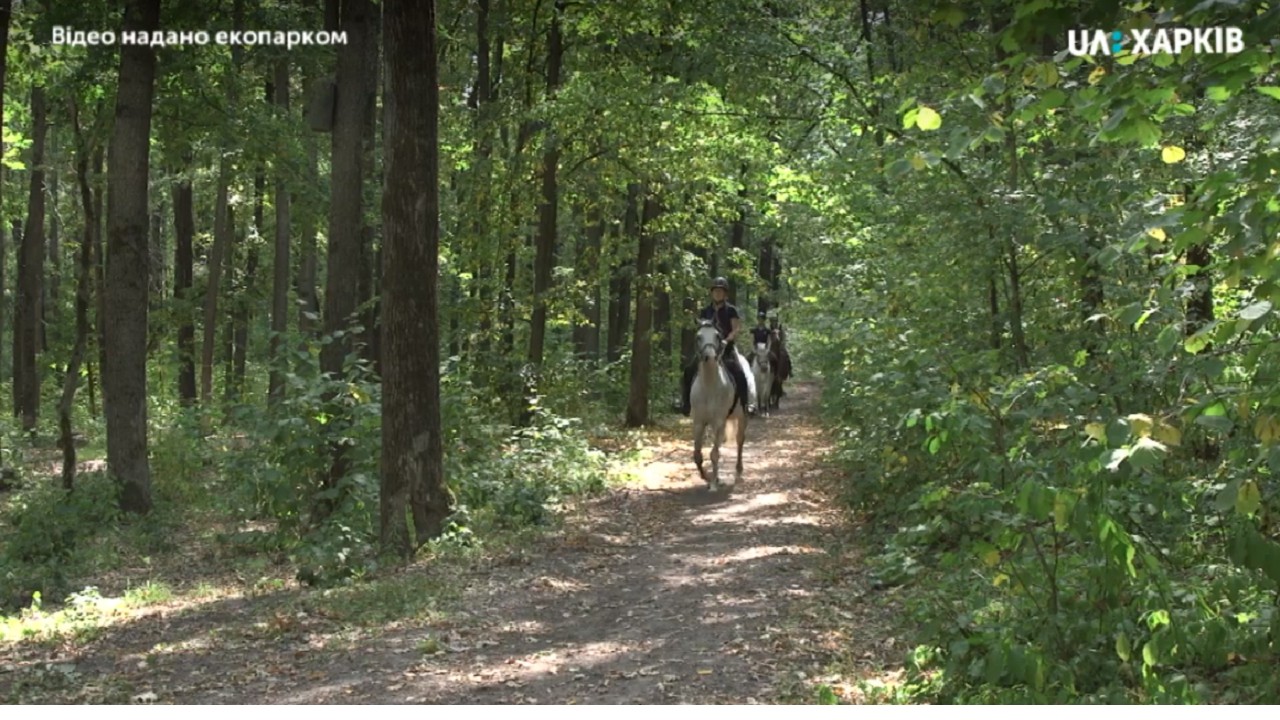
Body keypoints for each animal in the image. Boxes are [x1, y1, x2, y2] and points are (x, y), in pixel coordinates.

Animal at [691, 320, 747, 491]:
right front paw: (706, 477)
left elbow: (714, 454)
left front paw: (714, 484)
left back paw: (738, 473)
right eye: (698, 336)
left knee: (740, 440)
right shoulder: (699, 422)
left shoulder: (719, 422)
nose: (709, 357)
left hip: (742, 416)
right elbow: (697, 454)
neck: (709, 386)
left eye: (717, 336)